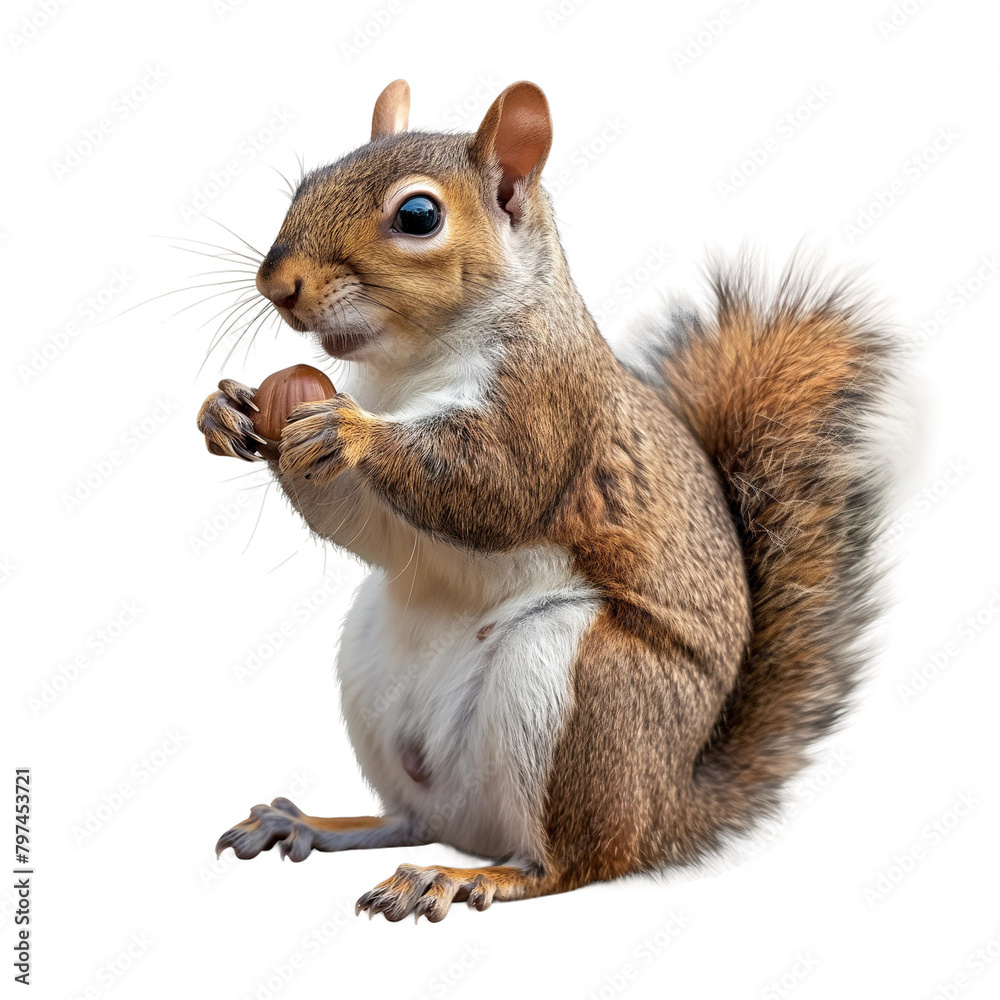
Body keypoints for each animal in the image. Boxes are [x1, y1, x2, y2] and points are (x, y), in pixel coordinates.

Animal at [199, 79, 902, 922]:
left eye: (418, 216)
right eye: (306, 183)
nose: (278, 285)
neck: (407, 368)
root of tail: (667, 809)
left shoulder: (549, 408)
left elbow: (494, 486)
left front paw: (350, 428)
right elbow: (370, 528)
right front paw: (227, 409)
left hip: (583, 690)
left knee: (573, 862)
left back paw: (466, 878)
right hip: (374, 671)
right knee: (413, 819)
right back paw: (315, 824)